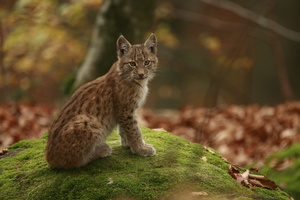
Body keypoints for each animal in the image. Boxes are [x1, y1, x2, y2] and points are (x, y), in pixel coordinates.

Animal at [45, 33, 158, 168]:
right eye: (132, 63)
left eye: (147, 62)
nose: (141, 74)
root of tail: (48, 156)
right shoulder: (126, 110)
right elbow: (134, 130)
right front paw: (140, 149)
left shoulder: (125, 111)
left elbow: (124, 129)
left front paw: (127, 144)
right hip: (88, 121)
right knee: (74, 162)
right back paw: (101, 150)